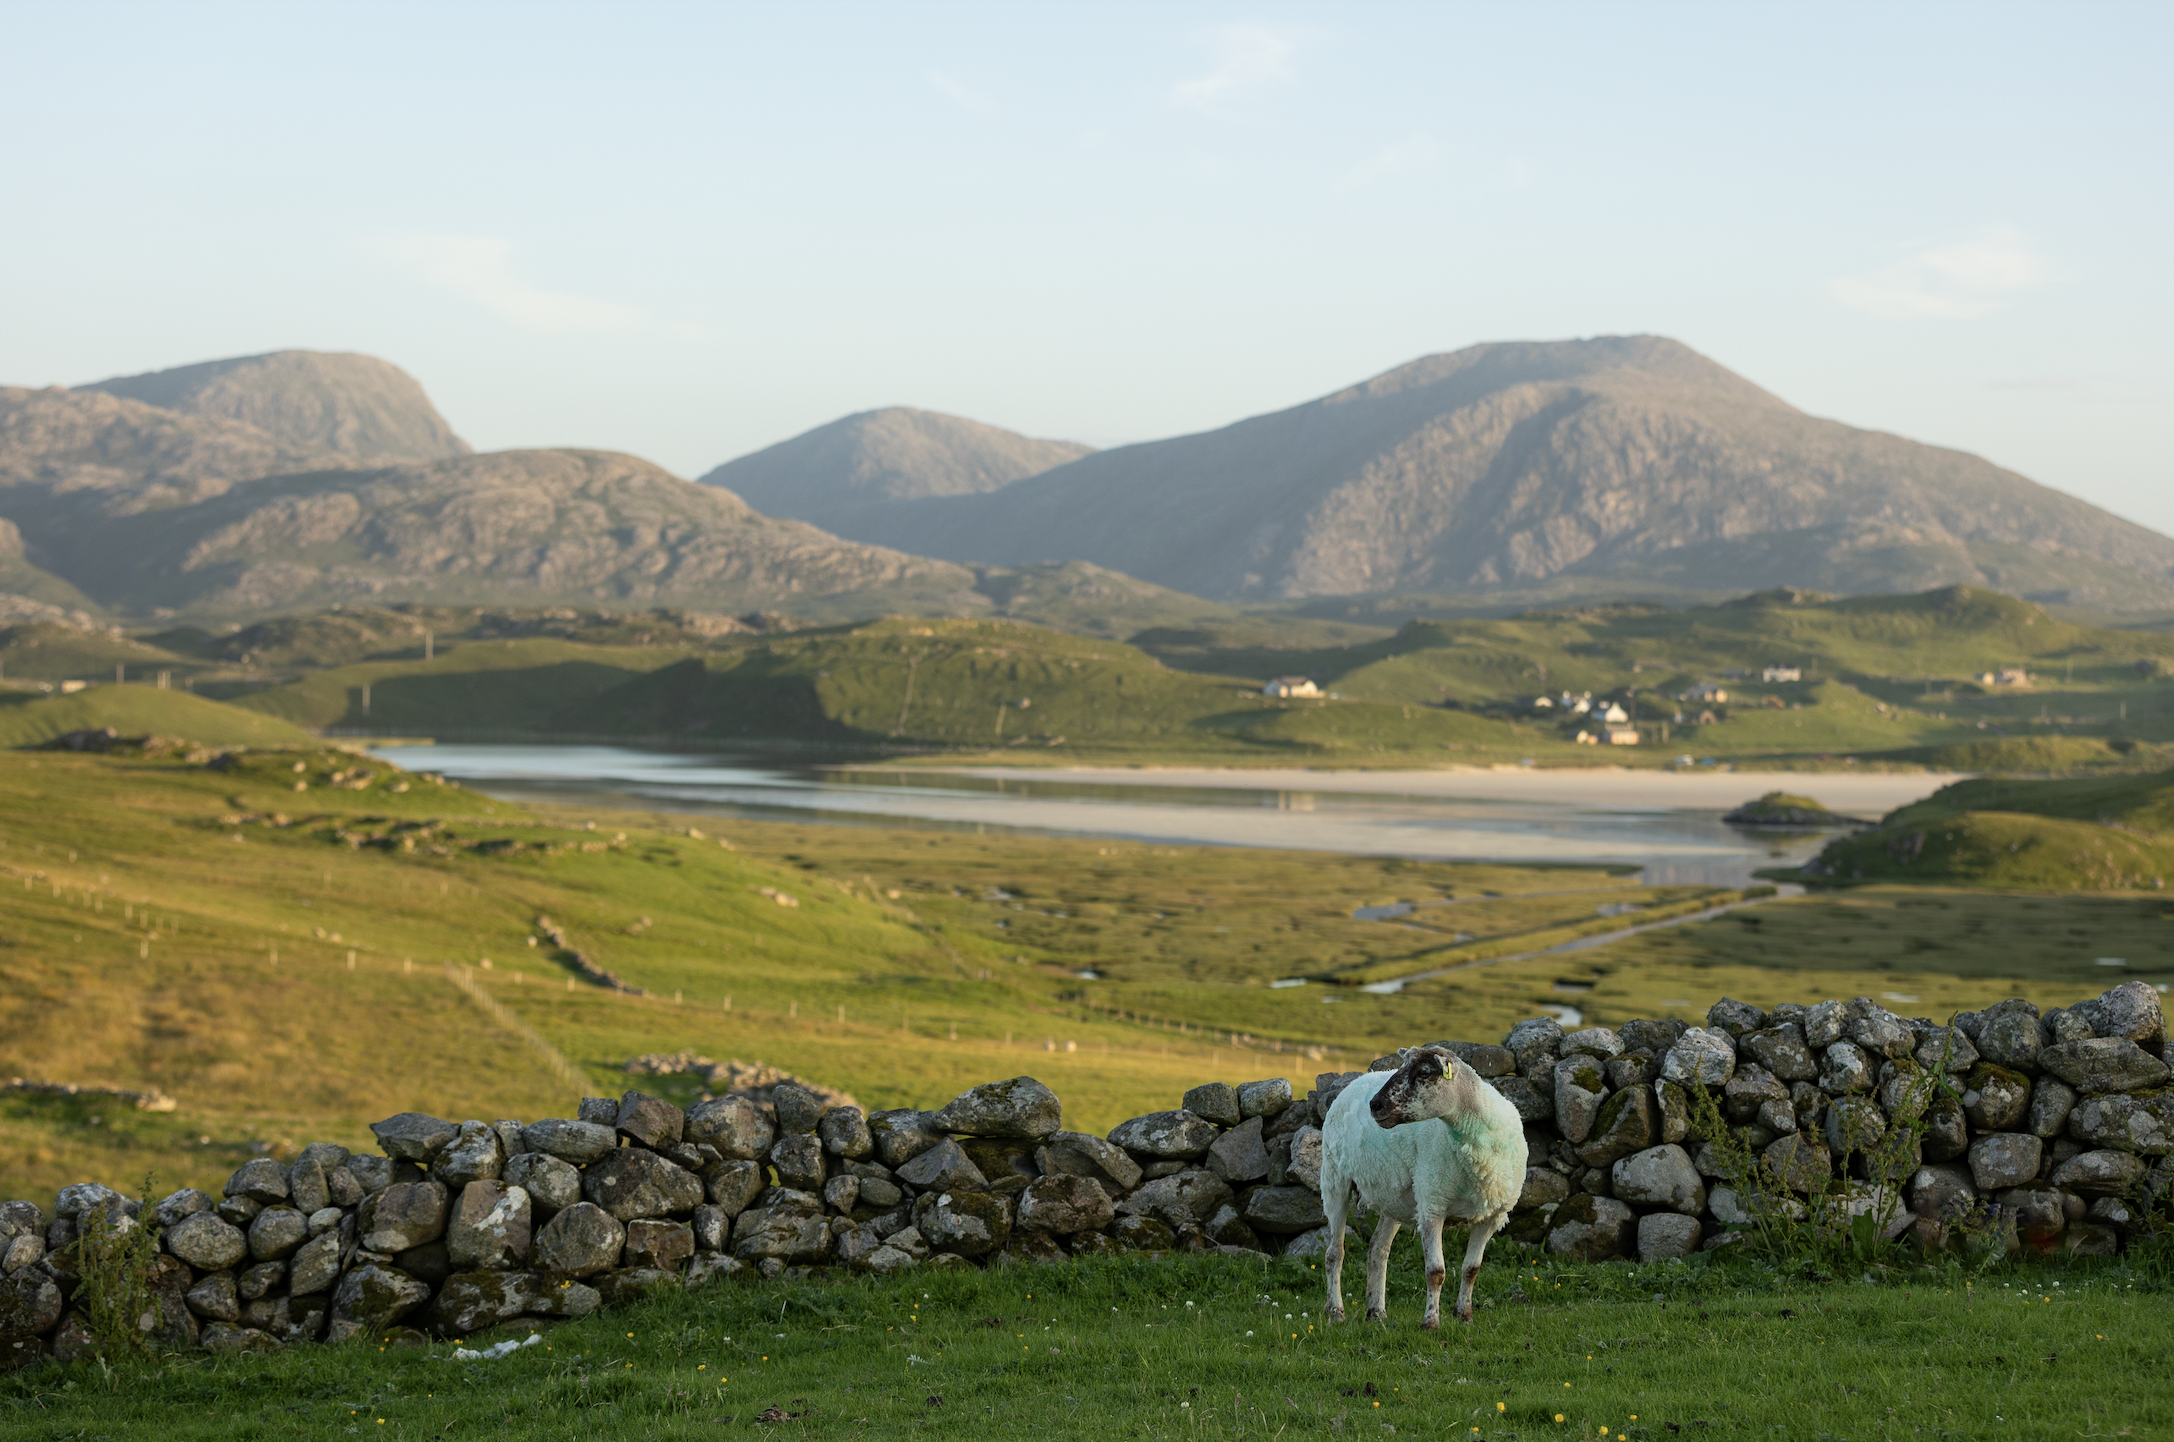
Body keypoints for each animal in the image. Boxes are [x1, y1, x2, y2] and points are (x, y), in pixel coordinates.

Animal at [1319, 1047, 1528, 1328]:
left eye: (1424, 1072)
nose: (1375, 1105)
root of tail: (1356, 1080)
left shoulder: (1493, 1215)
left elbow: (1471, 1270)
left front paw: (1465, 1316)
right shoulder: (1432, 1206)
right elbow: (1435, 1272)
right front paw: (1431, 1323)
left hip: (1394, 1198)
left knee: (1378, 1250)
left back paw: (1377, 1313)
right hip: (1334, 1179)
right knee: (1335, 1253)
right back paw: (1336, 1312)